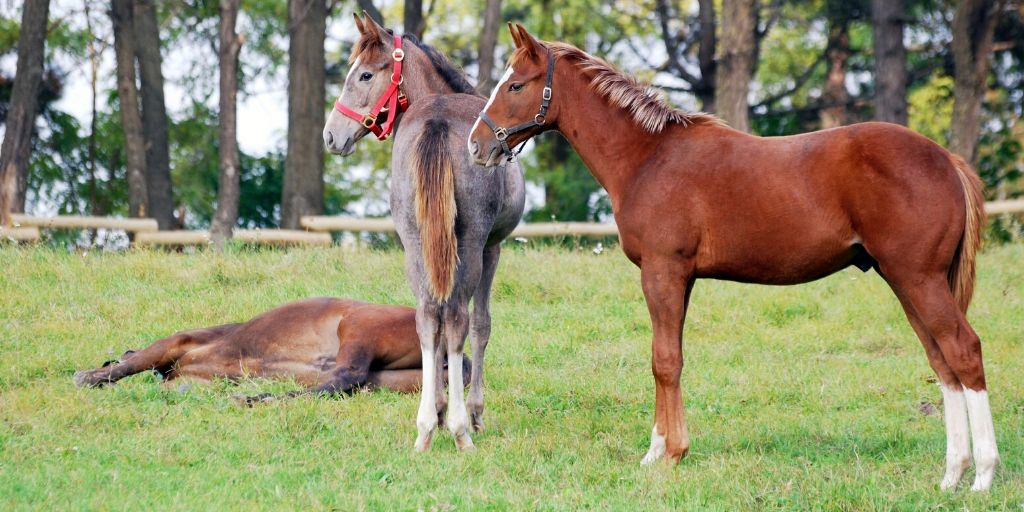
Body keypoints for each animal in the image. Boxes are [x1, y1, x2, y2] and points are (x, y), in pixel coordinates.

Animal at [74, 296, 468, 395]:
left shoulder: (176, 343)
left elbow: (131, 364)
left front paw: (87, 377)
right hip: (386, 380)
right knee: (338, 384)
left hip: (359, 326)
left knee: (344, 375)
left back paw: (252, 399)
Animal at [321, 14, 528, 450]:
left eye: (365, 74)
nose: (332, 135)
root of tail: (436, 121)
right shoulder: (492, 248)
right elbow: (481, 325)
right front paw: (474, 412)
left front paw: (439, 406)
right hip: (469, 245)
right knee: (457, 318)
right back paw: (460, 428)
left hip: (415, 245)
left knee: (427, 318)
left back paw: (427, 425)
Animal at [468, 24, 995, 491]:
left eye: (515, 84)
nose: (477, 145)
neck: (648, 157)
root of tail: (948, 160)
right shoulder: (682, 278)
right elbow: (668, 356)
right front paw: (660, 450)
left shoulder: (663, 271)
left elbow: (664, 360)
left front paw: (668, 454)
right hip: (906, 281)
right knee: (942, 363)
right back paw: (952, 475)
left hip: (919, 279)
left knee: (964, 352)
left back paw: (982, 477)